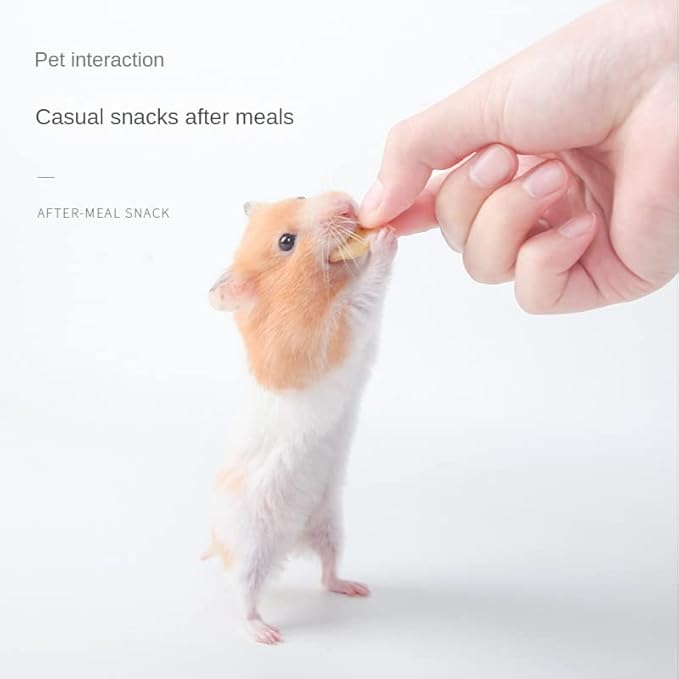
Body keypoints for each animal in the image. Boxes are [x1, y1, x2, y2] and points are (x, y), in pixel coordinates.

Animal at [206, 192, 397, 644]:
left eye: (300, 196)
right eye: (287, 242)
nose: (347, 204)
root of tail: (292, 541)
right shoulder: (329, 337)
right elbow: (363, 296)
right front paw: (384, 237)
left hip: (330, 525)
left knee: (328, 573)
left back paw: (355, 588)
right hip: (250, 548)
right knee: (244, 594)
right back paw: (266, 633)